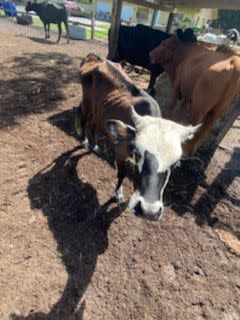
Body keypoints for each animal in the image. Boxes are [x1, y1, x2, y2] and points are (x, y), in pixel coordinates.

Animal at [75, 53, 201, 221]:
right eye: (137, 153)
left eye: (174, 163)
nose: (149, 212)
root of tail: (97, 58)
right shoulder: (120, 151)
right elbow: (122, 174)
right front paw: (118, 194)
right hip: (87, 101)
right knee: (83, 118)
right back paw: (84, 140)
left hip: (99, 110)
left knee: (93, 123)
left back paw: (94, 145)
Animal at [150, 28, 240, 156]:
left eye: (165, 43)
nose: (150, 54)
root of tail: (233, 62)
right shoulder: (188, 92)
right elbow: (182, 107)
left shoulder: (177, 85)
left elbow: (172, 105)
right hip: (217, 111)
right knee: (204, 131)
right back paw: (190, 150)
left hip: (199, 107)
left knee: (195, 126)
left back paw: (183, 150)